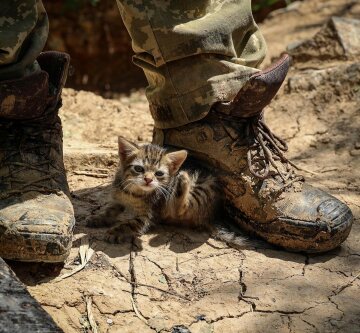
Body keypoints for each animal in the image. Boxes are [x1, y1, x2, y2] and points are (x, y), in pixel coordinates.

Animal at [86, 136, 224, 243]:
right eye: (138, 169)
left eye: (159, 174)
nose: (148, 179)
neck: (133, 192)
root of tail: (210, 215)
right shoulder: (118, 200)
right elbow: (109, 210)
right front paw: (98, 218)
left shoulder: (148, 216)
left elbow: (129, 224)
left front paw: (115, 232)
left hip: (202, 187)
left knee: (180, 209)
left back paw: (182, 180)